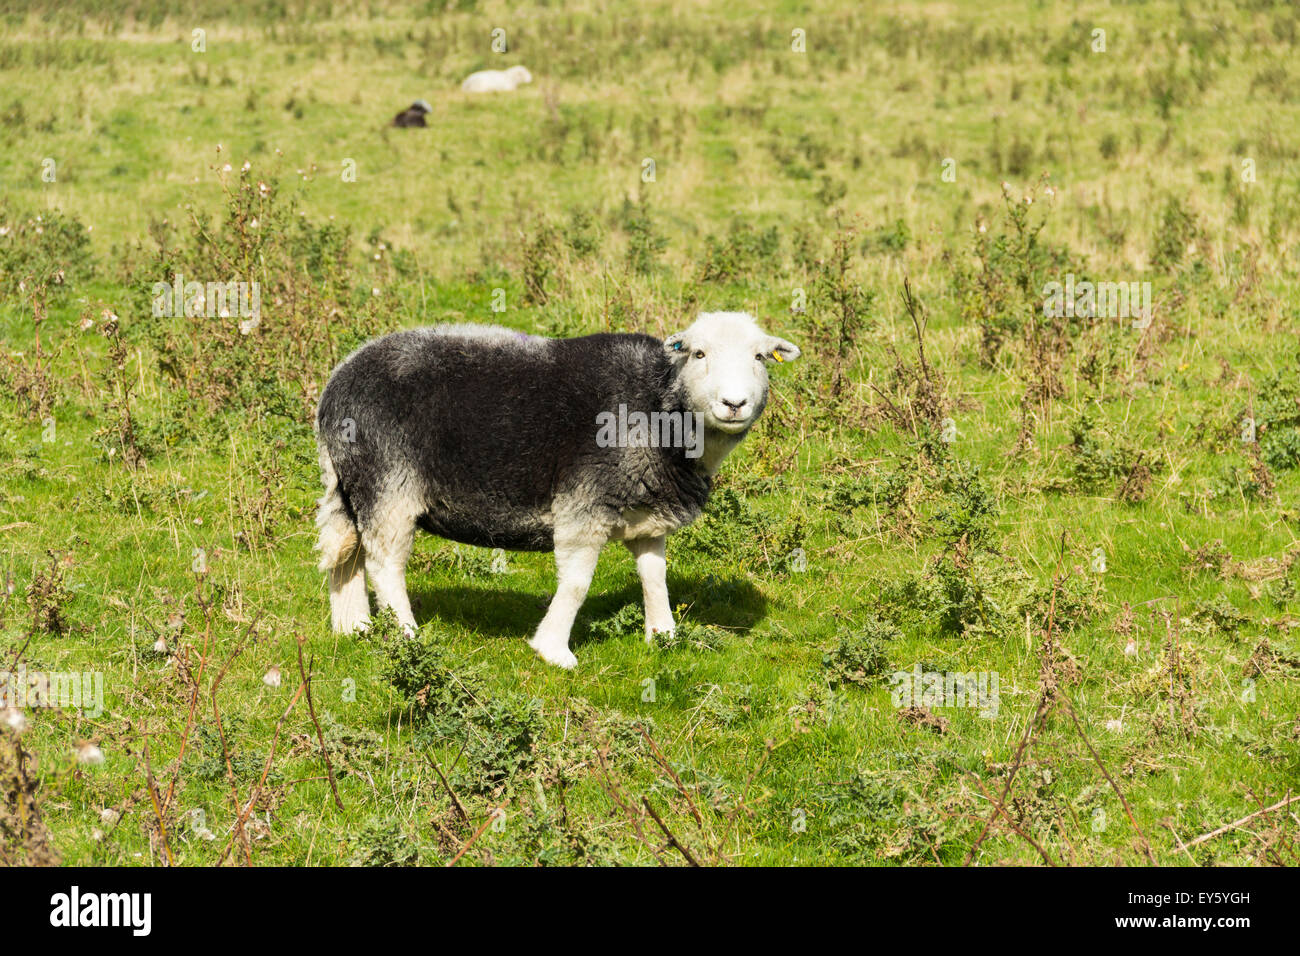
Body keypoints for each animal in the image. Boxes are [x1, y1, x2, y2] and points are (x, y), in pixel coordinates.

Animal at [315, 312, 800, 668]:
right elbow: (577, 583)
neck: (660, 411)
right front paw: (553, 650)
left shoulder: (647, 512)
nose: (734, 403)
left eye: (760, 356)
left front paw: (662, 635)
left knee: (347, 556)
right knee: (384, 564)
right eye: (699, 353)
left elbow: (653, 575)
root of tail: (335, 385)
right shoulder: (585, 505)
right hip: (387, 483)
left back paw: (354, 628)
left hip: (349, 485)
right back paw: (407, 637)